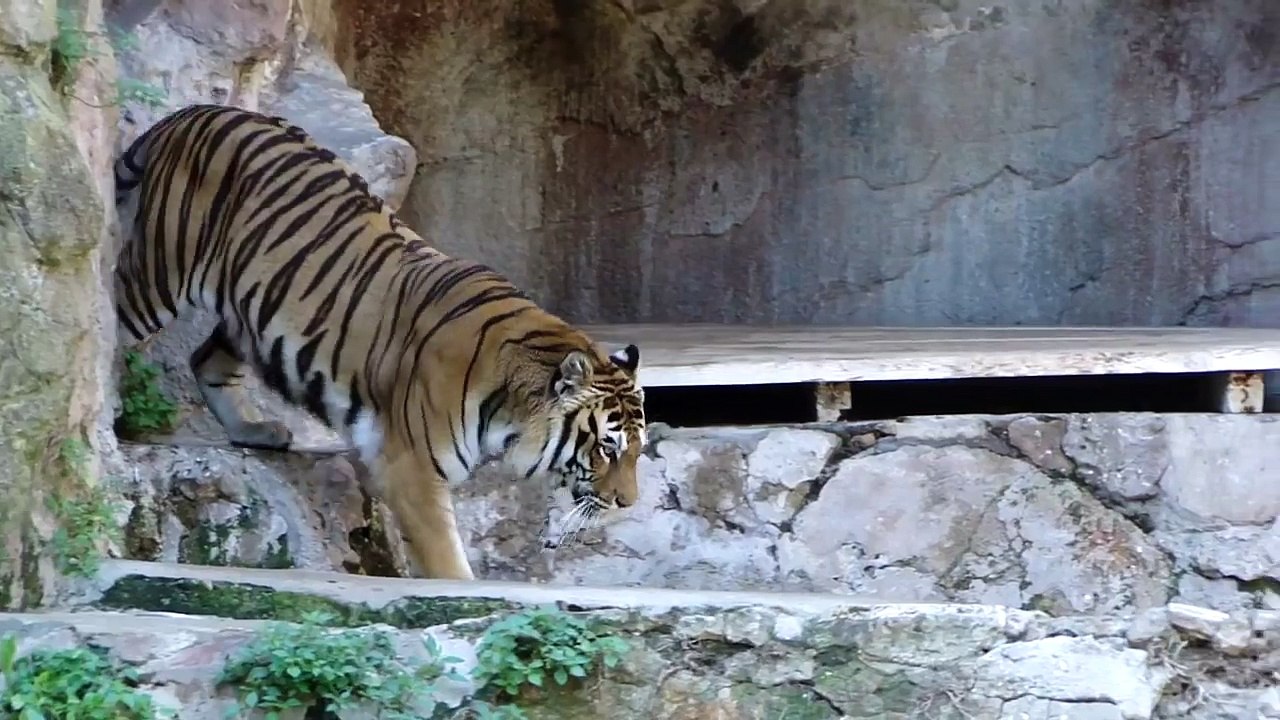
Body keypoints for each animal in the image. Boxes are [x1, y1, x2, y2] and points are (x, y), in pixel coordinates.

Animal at [111, 103, 648, 580]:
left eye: (638, 450)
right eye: (607, 447)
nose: (627, 503)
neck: (511, 407)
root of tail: (196, 112)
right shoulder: (410, 470)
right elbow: (449, 564)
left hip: (250, 306)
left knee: (206, 360)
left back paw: (254, 430)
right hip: (162, 274)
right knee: (113, 315)